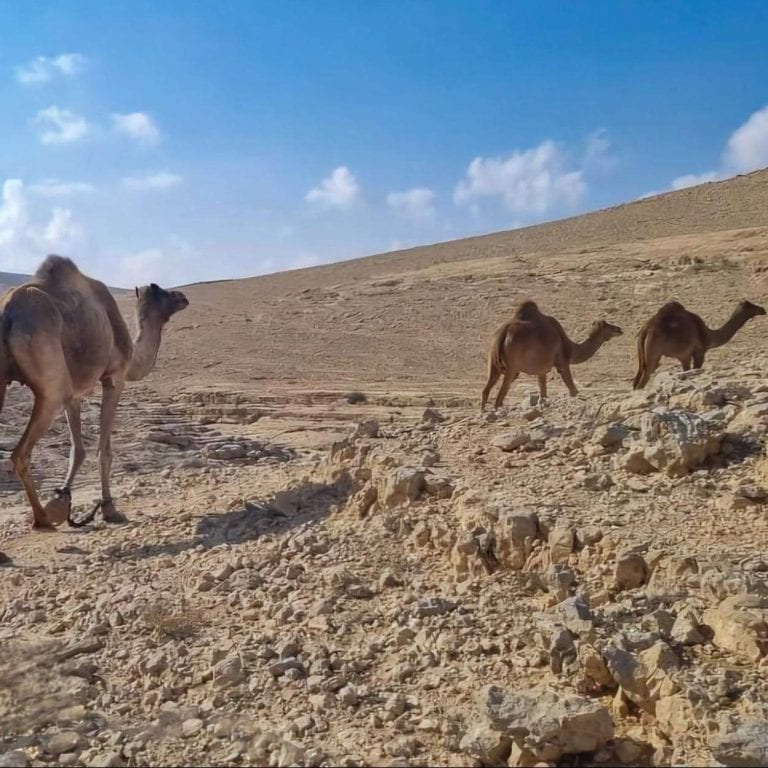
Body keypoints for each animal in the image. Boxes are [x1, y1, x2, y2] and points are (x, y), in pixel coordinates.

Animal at [0, 255, 189, 530]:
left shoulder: (74, 392)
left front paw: (63, 499)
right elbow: (104, 451)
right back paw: (42, 520)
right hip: (50, 390)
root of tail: (7, 311)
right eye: (159, 289)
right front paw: (109, 509)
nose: (182, 296)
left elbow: (77, 450)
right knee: (20, 454)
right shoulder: (114, 378)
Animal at [480, 300, 623, 409]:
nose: (619, 329)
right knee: (500, 395)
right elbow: (573, 390)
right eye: (607, 325)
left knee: (486, 389)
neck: (571, 348)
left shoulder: (542, 370)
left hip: (493, 361)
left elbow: (543, 392)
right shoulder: (562, 362)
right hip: (512, 367)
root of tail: (503, 333)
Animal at [632, 299, 766, 390]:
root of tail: (646, 329)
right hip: (654, 352)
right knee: (647, 373)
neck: (709, 335)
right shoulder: (699, 352)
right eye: (751, 305)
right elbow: (696, 370)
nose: (763, 309)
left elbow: (686, 372)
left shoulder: (684, 356)